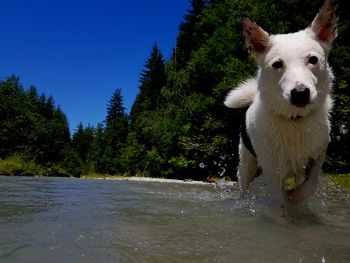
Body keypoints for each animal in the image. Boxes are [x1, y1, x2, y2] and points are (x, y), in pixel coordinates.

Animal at [226, 0, 338, 207]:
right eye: (277, 64)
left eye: (313, 60)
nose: (300, 94)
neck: (294, 120)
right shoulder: (273, 173)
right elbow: (280, 201)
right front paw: (289, 201)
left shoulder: (317, 156)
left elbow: (309, 187)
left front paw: (295, 197)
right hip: (246, 165)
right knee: (244, 187)